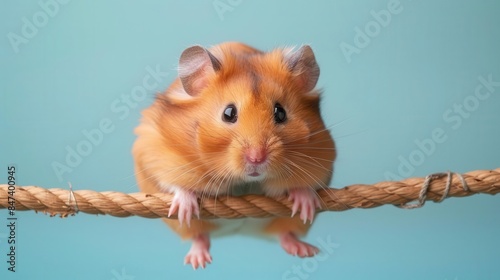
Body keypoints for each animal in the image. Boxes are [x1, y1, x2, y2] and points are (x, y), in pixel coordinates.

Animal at [132, 42, 336, 270]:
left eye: (280, 112)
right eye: (228, 113)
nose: (256, 158)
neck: (245, 182)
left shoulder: (323, 155)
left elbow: (307, 185)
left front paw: (305, 205)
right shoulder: (154, 153)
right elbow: (174, 184)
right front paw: (186, 207)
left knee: (285, 234)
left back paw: (305, 251)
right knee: (199, 236)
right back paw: (198, 262)